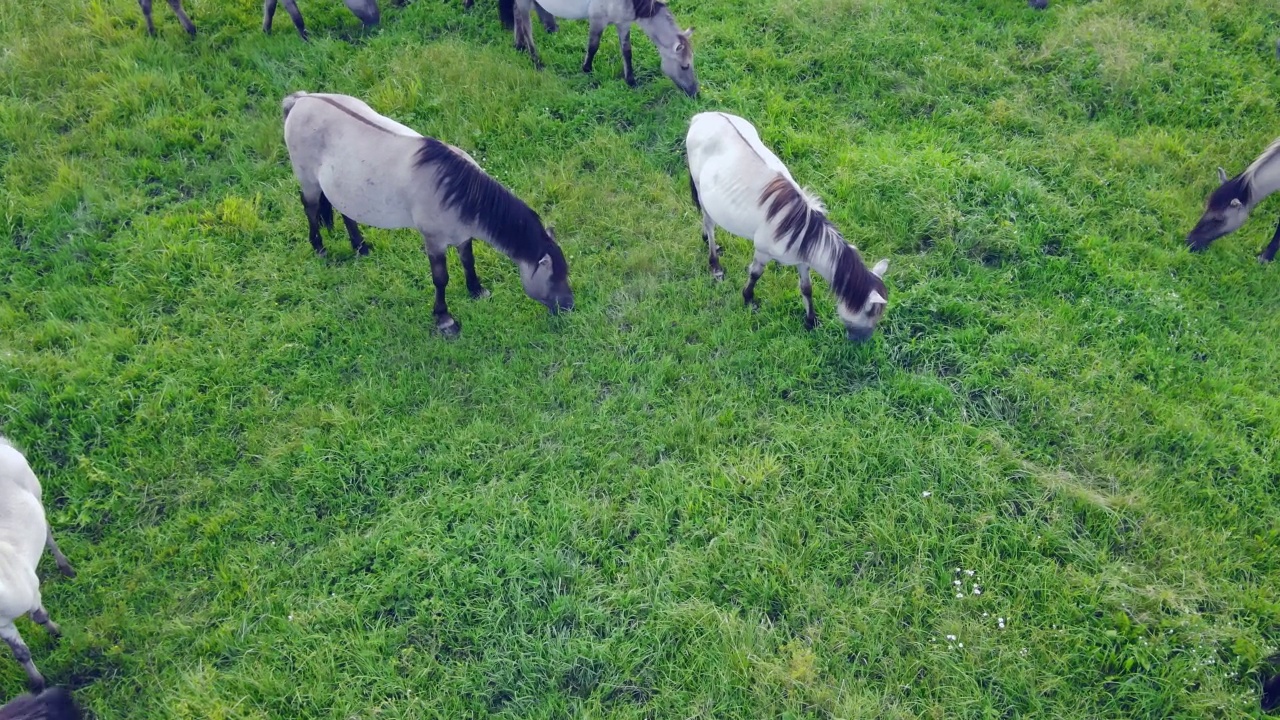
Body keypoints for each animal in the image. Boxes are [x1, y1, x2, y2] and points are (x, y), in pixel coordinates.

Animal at [0, 435, 75, 691]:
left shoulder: (32, 593)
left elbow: (40, 617)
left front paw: (58, 633)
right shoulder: (1, 625)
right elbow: (20, 653)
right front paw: (38, 684)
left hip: (35, 491)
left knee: (48, 531)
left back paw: (67, 569)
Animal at [286, 90, 581, 335]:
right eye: (553, 279)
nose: (569, 305)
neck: (457, 190)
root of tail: (300, 100)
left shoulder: (463, 235)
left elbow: (468, 261)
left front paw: (476, 290)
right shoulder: (434, 241)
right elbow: (441, 279)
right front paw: (444, 319)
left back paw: (361, 246)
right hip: (308, 181)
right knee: (310, 207)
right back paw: (319, 248)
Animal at [691, 110, 890, 340]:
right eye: (870, 313)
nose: (862, 342)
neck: (801, 229)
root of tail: (702, 116)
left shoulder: (803, 260)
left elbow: (806, 288)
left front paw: (811, 321)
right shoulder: (763, 251)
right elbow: (755, 274)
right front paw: (749, 299)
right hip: (701, 189)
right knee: (709, 222)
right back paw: (715, 264)